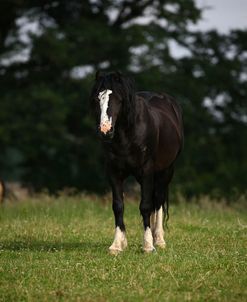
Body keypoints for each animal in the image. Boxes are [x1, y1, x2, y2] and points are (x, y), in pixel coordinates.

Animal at [90, 71, 183, 252]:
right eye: (98, 98)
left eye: (118, 98)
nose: (105, 130)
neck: (128, 135)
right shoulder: (114, 172)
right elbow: (118, 206)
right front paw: (117, 244)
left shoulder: (146, 171)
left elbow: (145, 206)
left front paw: (148, 246)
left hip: (166, 171)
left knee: (158, 201)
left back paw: (158, 240)